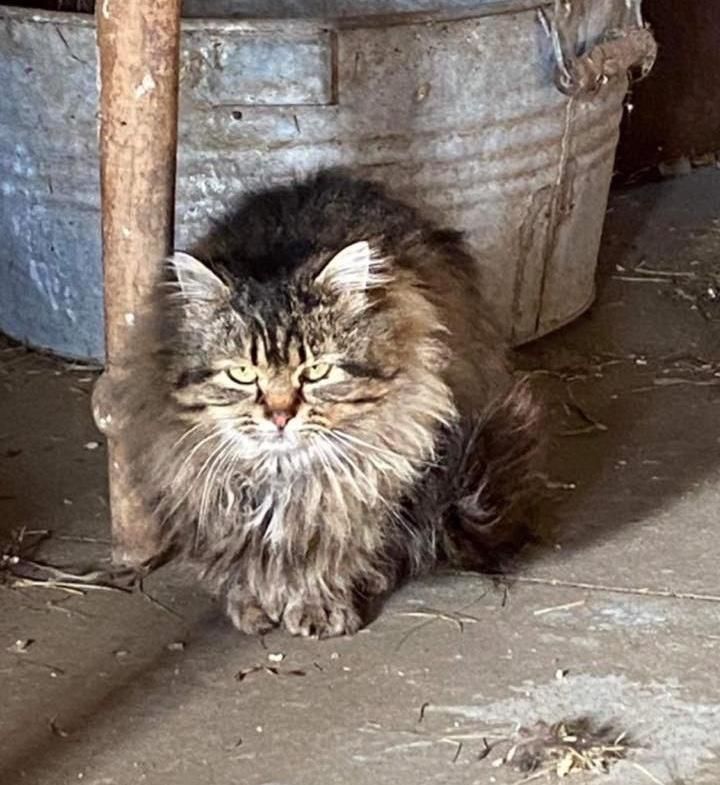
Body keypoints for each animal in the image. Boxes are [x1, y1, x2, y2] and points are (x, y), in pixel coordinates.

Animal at [115, 170, 544, 636]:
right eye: (243, 374)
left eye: (317, 371)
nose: (280, 416)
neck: (283, 477)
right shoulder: (210, 494)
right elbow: (245, 559)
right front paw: (253, 604)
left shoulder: (360, 493)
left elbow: (328, 558)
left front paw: (318, 607)